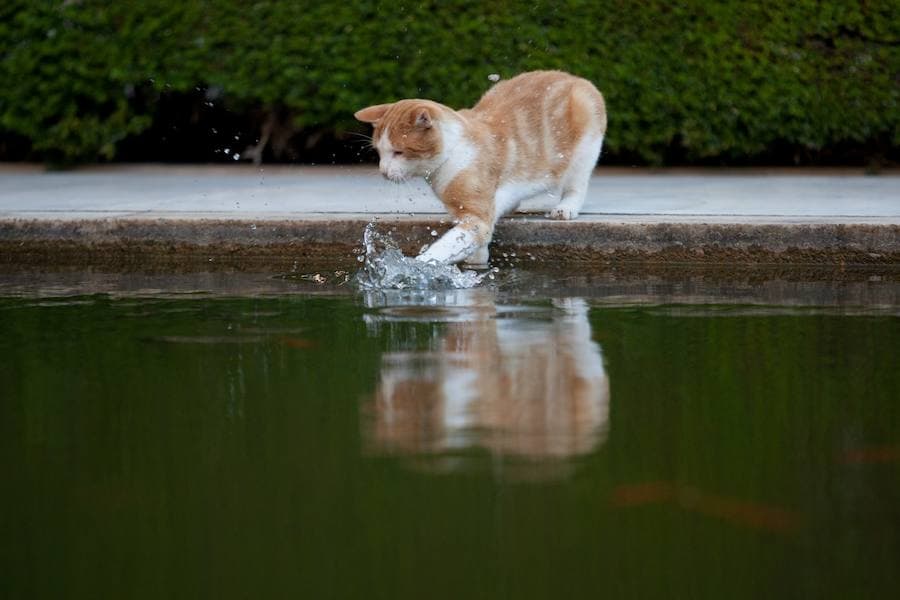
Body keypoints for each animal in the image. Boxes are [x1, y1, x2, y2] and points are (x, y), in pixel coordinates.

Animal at [356, 70, 608, 268]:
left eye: (398, 152)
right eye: (379, 152)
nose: (383, 171)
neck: (453, 152)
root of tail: (573, 78)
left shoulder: (476, 217)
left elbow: (447, 246)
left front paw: (417, 268)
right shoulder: (467, 215)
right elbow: (472, 242)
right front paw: (477, 260)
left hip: (583, 150)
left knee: (576, 185)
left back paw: (566, 207)